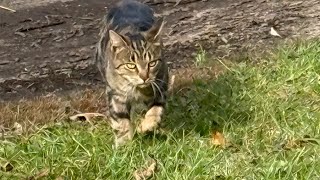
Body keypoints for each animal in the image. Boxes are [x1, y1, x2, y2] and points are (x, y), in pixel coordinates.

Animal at [95, 0, 169, 147]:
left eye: (152, 63)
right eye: (131, 65)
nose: (144, 77)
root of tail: (127, 1)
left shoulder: (161, 84)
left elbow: (156, 109)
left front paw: (147, 125)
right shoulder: (115, 94)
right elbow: (121, 120)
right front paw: (124, 143)